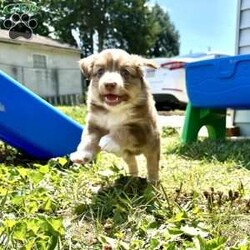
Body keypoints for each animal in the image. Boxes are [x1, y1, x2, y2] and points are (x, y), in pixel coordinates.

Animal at [69, 48, 161, 182]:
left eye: (125, 72)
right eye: (100, 71)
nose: (109, 84)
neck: (115, 110)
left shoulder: (144, 128)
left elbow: (125, 129)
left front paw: (110, 140)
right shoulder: (93, 124)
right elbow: (88, 139)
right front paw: (82, 154)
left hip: (152, 147)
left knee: (152, 164)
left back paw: (153, 182)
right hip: (126, 153)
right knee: (132, 162)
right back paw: (133, 178)